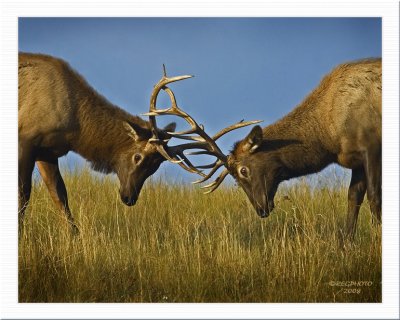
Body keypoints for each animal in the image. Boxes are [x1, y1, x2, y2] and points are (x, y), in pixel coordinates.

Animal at [17, 52, 203, 232]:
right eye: (137, 157)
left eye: (155, 167)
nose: (129, 198)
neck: (74, 130)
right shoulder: (26, 139)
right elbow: (24, 193)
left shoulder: (47, 151)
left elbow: (60, 195)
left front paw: (74, 234)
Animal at [150, 57, 382, 239]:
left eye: (243, 170)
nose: (261, 208)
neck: (330, 136)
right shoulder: (355, 159)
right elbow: (353, 198)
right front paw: (347, 244)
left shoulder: (371, 146)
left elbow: (374, 196)